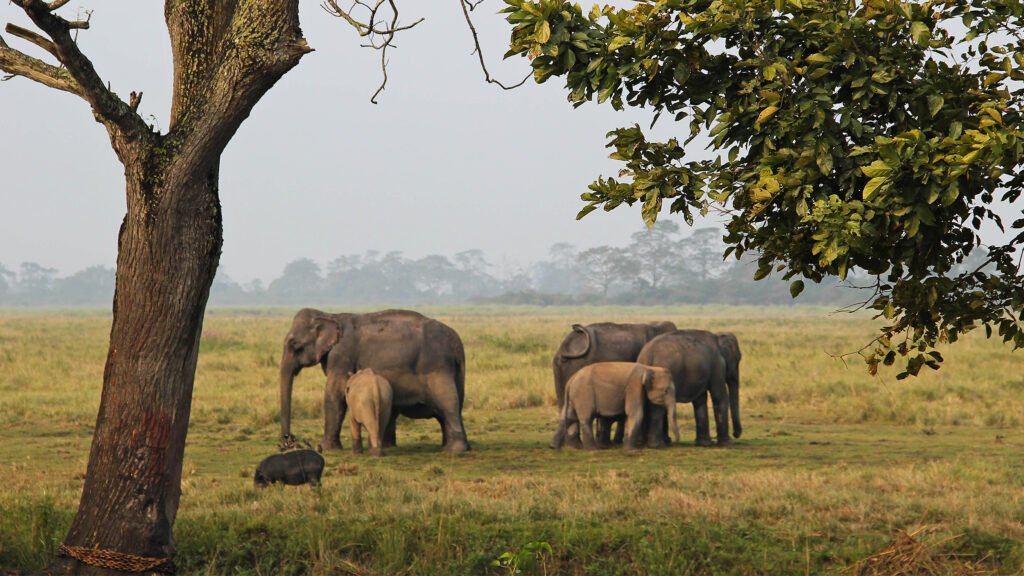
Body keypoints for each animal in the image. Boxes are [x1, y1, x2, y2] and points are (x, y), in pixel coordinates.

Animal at [279, 308, 470, 453]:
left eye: (295, 344)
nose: (289, 441)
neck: (331, 315)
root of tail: (456, 343)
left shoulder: (342, 355)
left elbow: (335, 393)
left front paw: (326, 449)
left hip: (437, 369)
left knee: (447, 404)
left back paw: (453, 450)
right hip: (457, 373)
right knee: (456, 405)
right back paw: (457, 447)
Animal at [551, 362, 679, 450]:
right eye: (666, 391)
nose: (674, 442)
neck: (649, 368)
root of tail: (572, 378)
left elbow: (654, 413)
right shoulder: (634, 386)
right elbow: (635, 413)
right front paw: (632, 450)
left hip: (575, 395)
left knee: (569, 417)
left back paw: (562, 447)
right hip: (583, 394)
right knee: (585, 418)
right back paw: (592, 449)